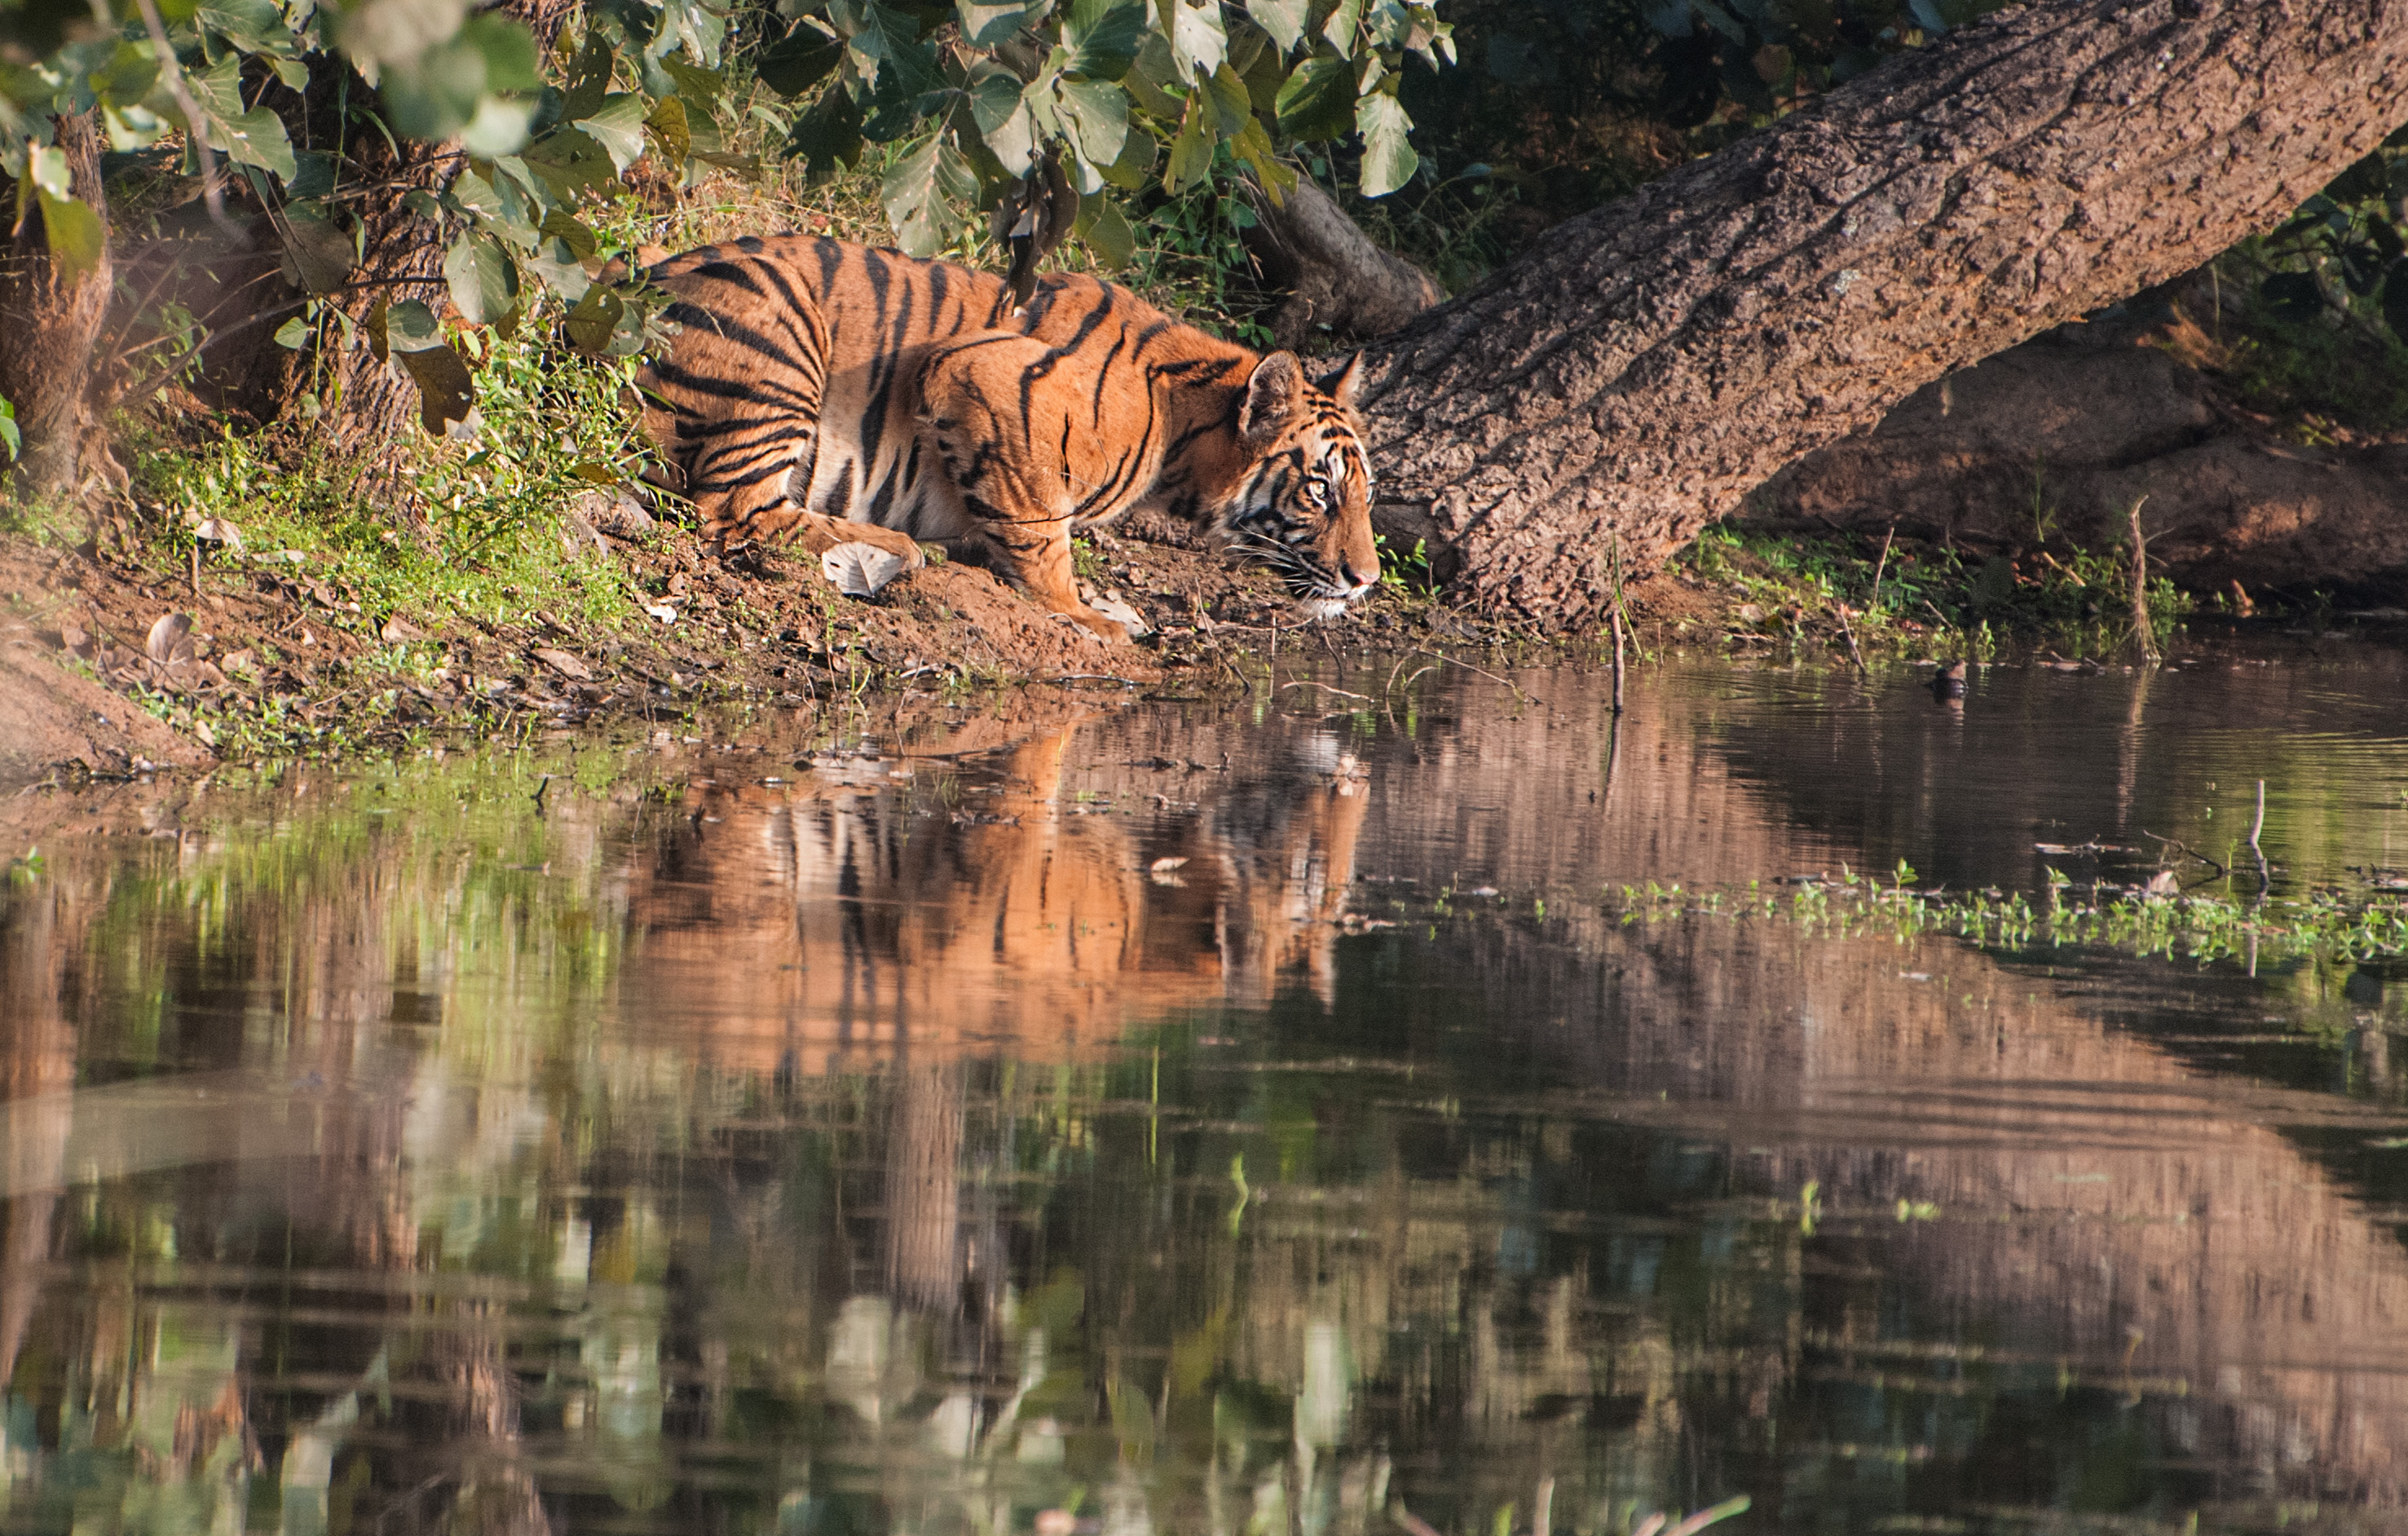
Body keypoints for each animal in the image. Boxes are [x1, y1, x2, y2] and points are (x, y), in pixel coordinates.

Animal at [629, 235, 1380, 642]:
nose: (1366, 581)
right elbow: (1042, 531)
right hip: (781, 329)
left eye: (1365, 496)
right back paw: (898, 546)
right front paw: (1083, 614)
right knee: (734, 509)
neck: (1179, 425)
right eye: (1320, 490)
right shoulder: (980, 376)